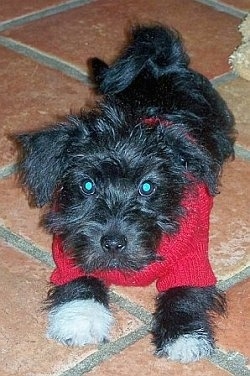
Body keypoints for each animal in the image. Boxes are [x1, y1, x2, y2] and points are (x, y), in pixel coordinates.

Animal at [16, 25, 235, 362]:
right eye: (87, 185)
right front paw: (80, 319)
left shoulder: (193, 259)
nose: (113, 242)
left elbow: (184, 293)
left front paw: (184, 337)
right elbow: (79, 279)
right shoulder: (68, 248)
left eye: (147, 187)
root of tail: (162, 66)